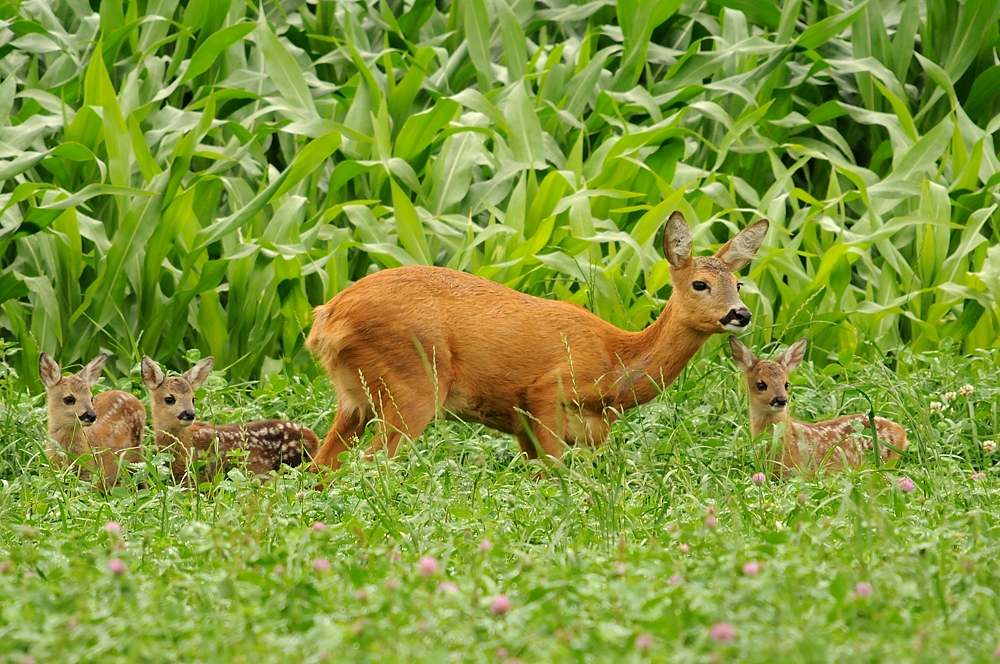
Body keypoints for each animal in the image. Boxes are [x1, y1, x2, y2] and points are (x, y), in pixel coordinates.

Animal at [308, 211, 768, 466]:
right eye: (699, 284)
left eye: (739, 283)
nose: (740, 314)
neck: (615, 364)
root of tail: (327, 318)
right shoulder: (545, 395)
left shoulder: (527, 427)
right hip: (414, 384)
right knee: (371, 467)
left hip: (354, 397)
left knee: (320, 470)